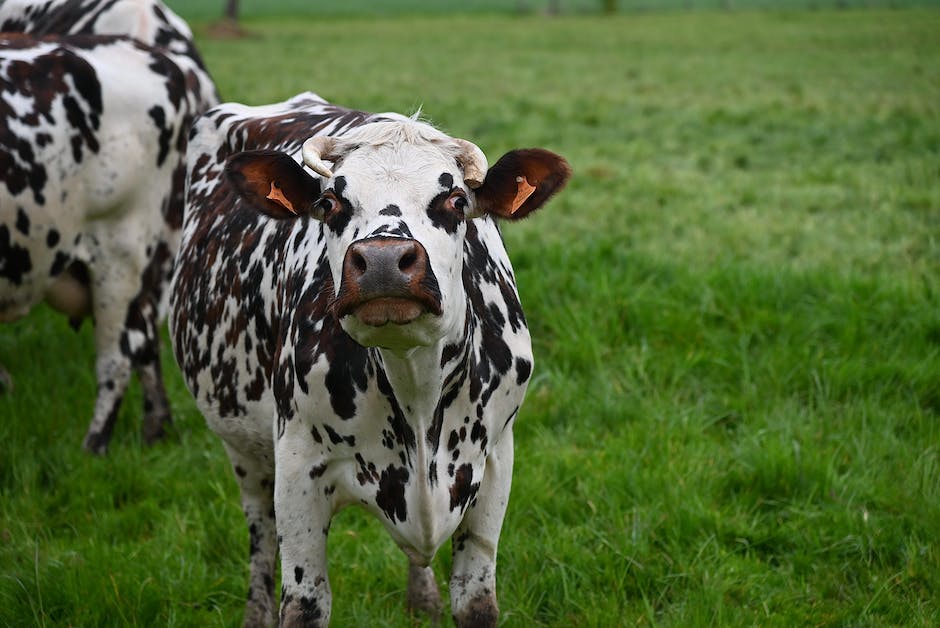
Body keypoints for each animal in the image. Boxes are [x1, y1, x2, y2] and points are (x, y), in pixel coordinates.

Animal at [167, 91, 572, 624]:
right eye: (329, 203)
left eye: (456, 201)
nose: (383, 261)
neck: (415, 388)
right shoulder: (296, 472)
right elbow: (303, 605)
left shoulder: (495, 460)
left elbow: (477, 603)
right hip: (244, 450)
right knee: (258, 536)